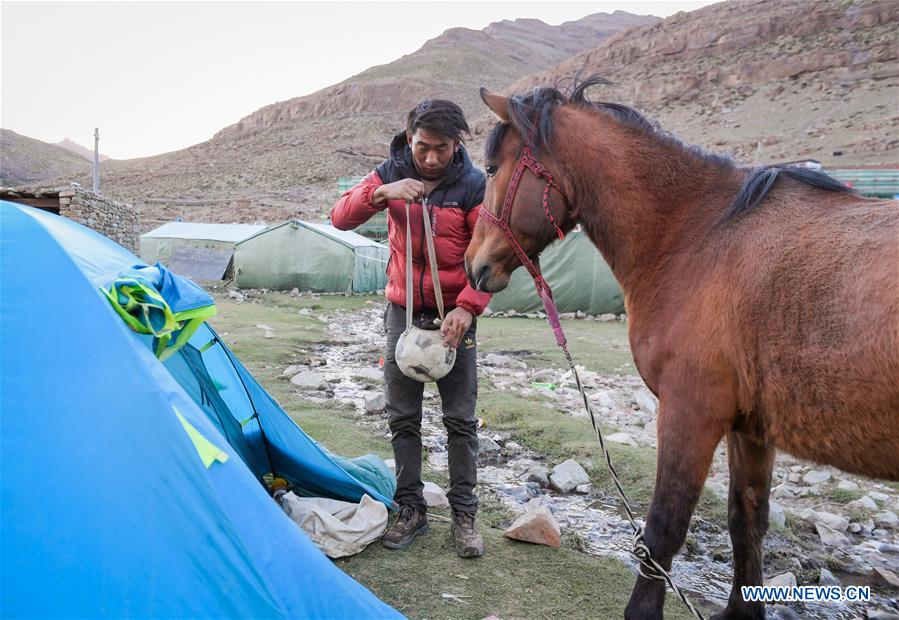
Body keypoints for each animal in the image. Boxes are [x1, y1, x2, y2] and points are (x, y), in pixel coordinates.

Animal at [464, 78, 899, 620]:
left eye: (490, 168)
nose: (472, 264)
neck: (696, 234)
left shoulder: (691, 413)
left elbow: (664, 528)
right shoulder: (750, 429)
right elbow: (747, 520)